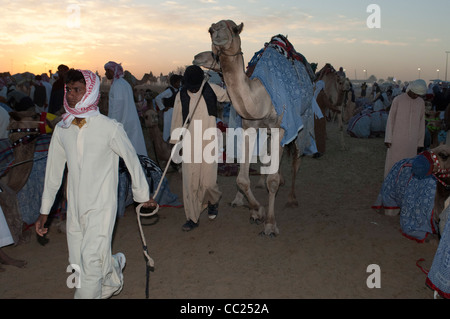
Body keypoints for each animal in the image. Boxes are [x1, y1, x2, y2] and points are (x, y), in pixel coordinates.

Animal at [195, 19, 314, 235]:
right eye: (209, 29)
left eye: (234, 29)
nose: (217, 33)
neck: (261, 97)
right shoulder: (249, 126)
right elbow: (242, 179)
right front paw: (256, 210)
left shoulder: (281, 127)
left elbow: (272, 180)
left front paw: (270, 224)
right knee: (270, 157)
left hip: (304, 118)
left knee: (297, 158)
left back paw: (292, 198)